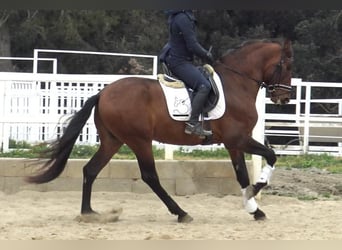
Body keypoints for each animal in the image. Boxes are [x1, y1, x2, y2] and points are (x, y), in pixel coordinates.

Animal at [27, 38, 294, 223]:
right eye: (286, 66)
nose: (283, 99)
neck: (236, 84)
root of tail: (103, 93)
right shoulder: (238, 138)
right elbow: (270, 157)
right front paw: (254, 192)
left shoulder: (232, 143)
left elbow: (242, 175)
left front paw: (254, 209)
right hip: (139, 140)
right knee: (149, 176)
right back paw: (181, 213)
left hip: (113, 141)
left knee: (91, 170)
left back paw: (88, 213)